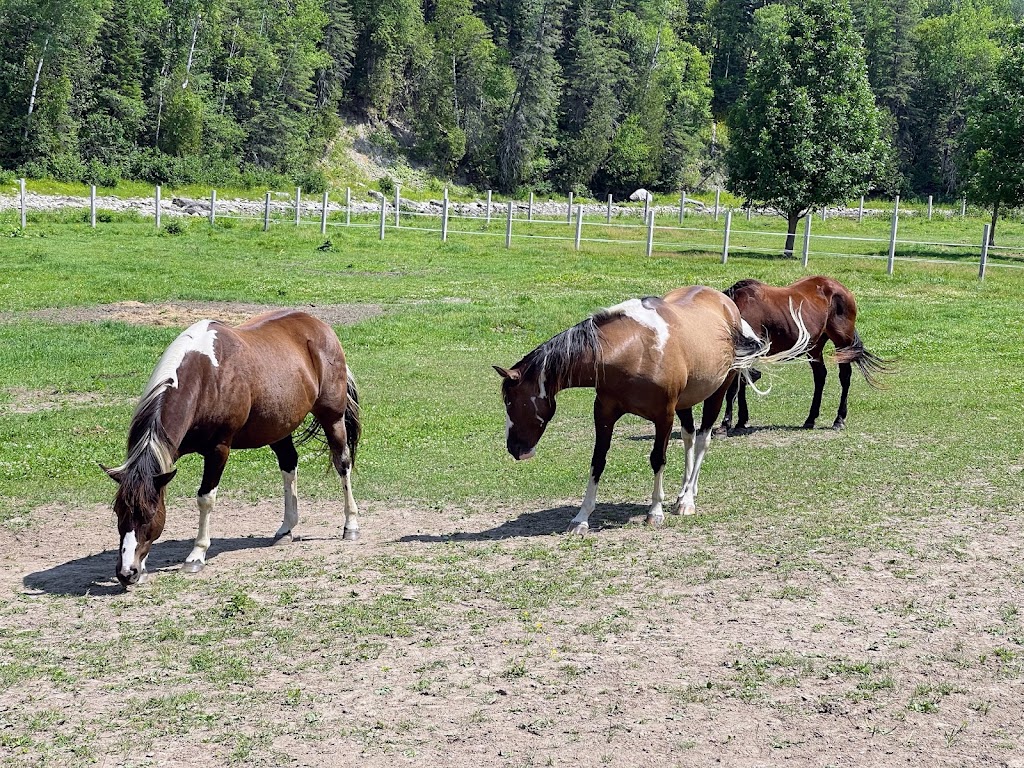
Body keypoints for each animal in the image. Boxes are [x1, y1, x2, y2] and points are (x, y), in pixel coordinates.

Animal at [495, 284, 806, 536]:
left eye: (511, 401)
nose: (514, 448)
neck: (634, 349)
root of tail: (727, 304)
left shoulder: (663, 416)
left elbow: (658, 459)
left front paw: (655, 511)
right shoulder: (604, 413)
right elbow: (598, 461)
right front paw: (581, 518)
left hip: (717, 393)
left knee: (702, 440)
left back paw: (688, 499)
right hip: (686, 403)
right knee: (690, 437)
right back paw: (681, 492)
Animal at [720, 274, 888, 434]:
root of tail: (842, 289)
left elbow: (733, 388)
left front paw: (726, 424)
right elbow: (740, 385)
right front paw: (740, 421)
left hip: (842, 344)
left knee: (845, 377)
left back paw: (839, 419)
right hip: (815, 347)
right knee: (820, 376)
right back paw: (811, 419)